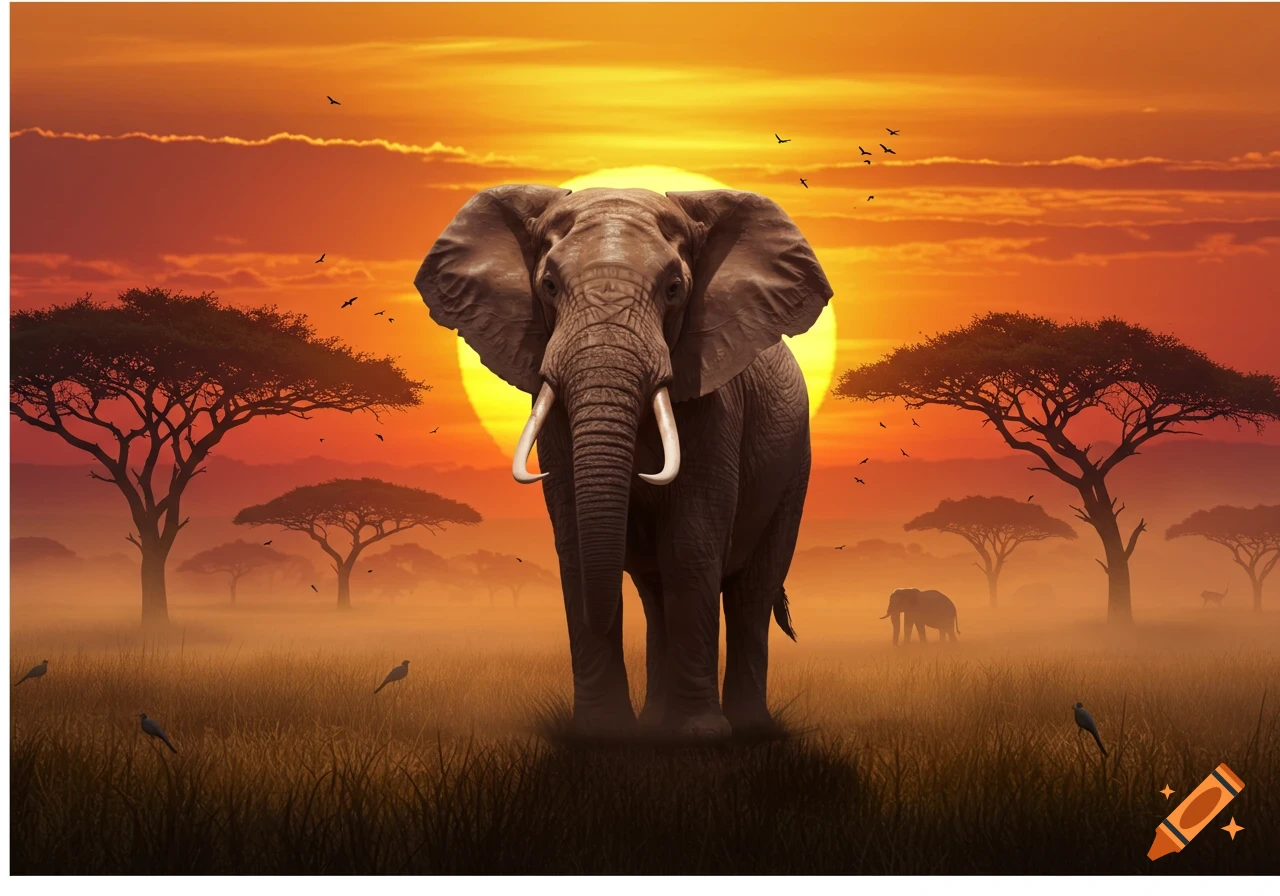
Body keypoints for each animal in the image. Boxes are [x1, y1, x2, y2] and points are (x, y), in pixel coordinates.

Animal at [416, 186, 832, 737]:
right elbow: (576, 544)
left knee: (751, 591)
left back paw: (746, 727)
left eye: (675, 289)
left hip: (794, 466)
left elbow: (691, 543)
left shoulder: (715, 401)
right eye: (548, 285)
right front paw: (603, 734)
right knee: (656, 597)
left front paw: (700, 734)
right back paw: (656, 723)